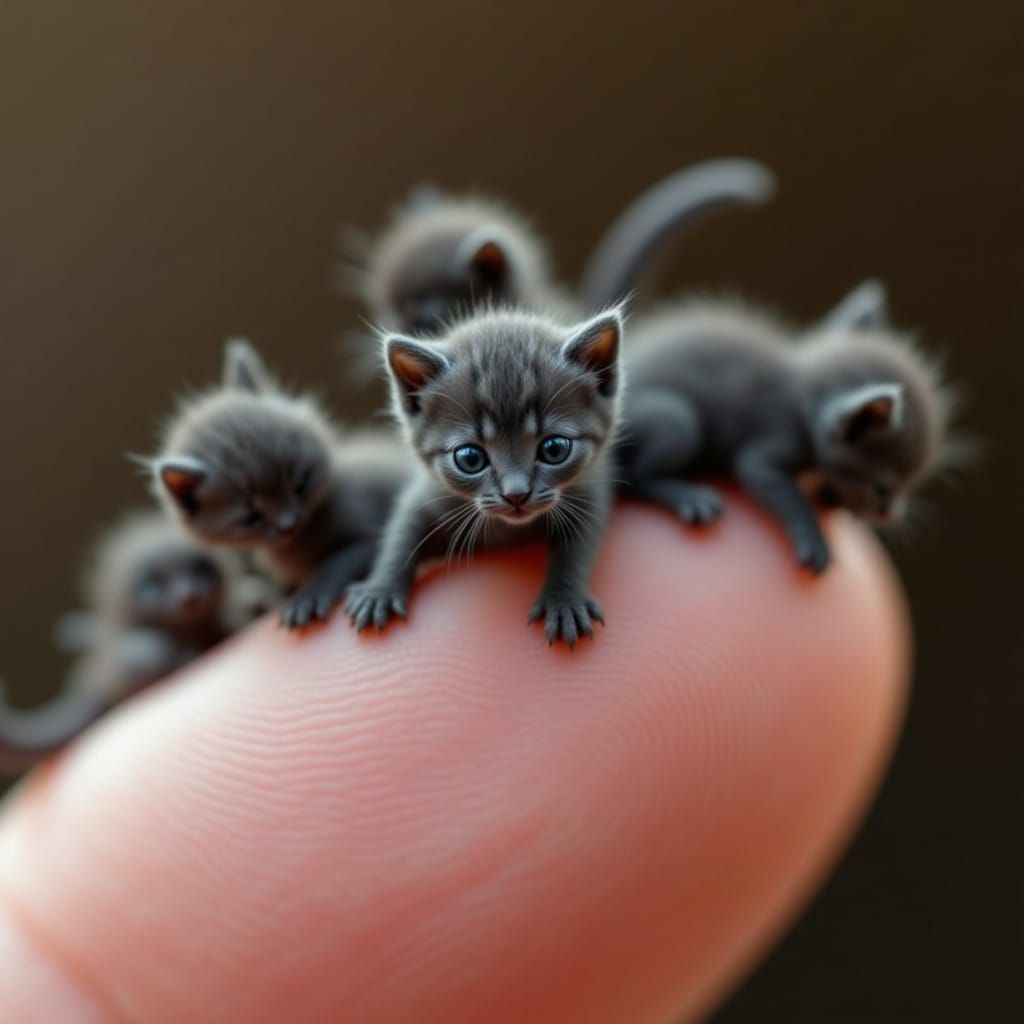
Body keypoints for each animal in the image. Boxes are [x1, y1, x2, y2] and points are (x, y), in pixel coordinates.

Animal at [153, 337, 409, 622]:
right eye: (251, 517)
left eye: (301, 484)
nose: (289, 524)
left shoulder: (366, 534)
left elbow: (337, 563)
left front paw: (308, 596)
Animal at [346, 305, 622, 647]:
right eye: (470, 458)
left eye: (555, 449)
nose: (516, 494)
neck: (508, 529)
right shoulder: (427, 492)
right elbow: (401, 532)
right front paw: (379, 590)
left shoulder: (590, 489)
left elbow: (579, 546)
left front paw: (565, 600)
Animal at [618, 294, 954, 577]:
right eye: (882, 490)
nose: (892, 515)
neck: (804, 396)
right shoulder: (777, 440)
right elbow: (768, 478)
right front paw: (812, 537)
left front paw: (830, 495)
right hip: (676, 420)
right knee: (638, 473)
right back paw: (687, 496)